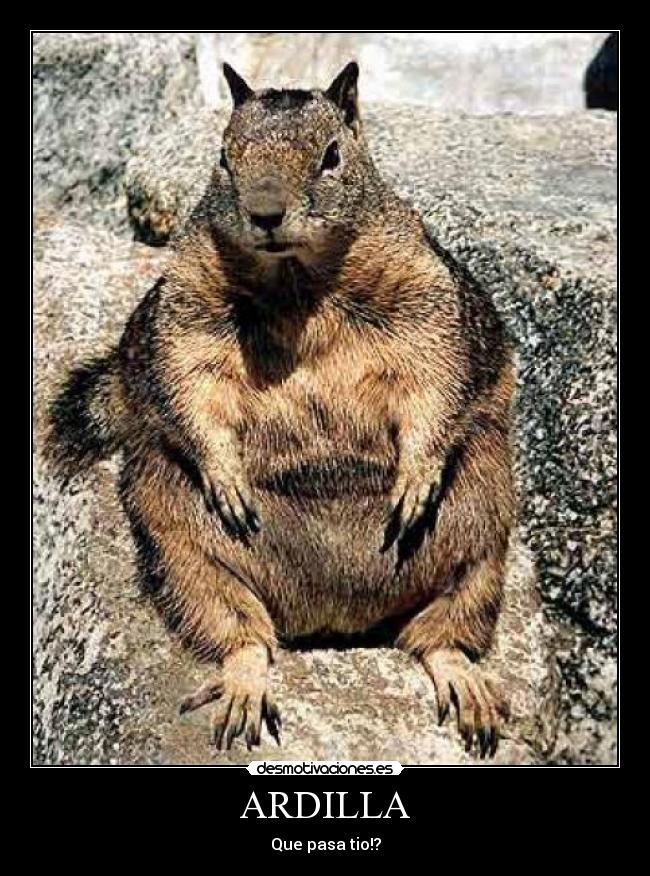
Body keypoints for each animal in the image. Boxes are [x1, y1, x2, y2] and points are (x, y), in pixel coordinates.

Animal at [48, 61, 515, 757]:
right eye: (222, 156)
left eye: (332, 156)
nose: (264, 213)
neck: (297, 282)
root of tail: (336, 618)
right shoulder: (186, 308)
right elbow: (190, 384)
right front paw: (227, 478)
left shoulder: (426, 299)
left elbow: (435, 382)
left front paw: (414, 481)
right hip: (181, 547)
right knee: (243, 635)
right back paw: (245, 687)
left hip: (484, 539)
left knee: (438, 635)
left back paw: (467, 686)